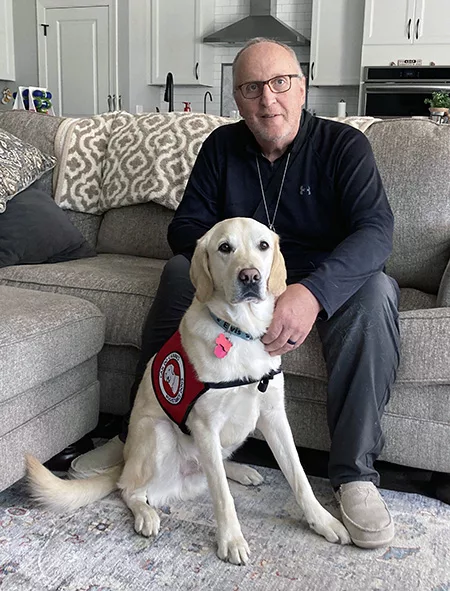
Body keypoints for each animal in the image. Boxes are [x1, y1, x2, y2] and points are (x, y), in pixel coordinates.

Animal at [26, 217, 352, 564]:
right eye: (225, 247)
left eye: (263, 245)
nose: (250, 276)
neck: (240, 332)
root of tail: (125, 463)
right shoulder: (206, 426)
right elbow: (223, 496)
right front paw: (231, 540)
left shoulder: (274, 415)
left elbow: (299, 477)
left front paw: (324, 521)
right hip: (158, 434)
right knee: (130, 489)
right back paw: (146, 513)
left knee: (214, 466)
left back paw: (240, 471)